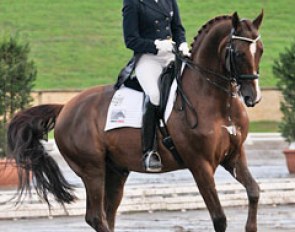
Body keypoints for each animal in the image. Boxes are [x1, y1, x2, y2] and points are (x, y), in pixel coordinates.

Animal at [7, 11, 266, 232]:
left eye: (260, 51)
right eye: (239, 53)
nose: (252, 97)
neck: (218, 103)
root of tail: (65, 108)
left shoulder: (234, 155)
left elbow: (254, 191)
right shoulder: (200, 164)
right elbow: (219, 217)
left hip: (116, 171)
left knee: (108, 214)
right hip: (92, 170)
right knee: (95, 216)